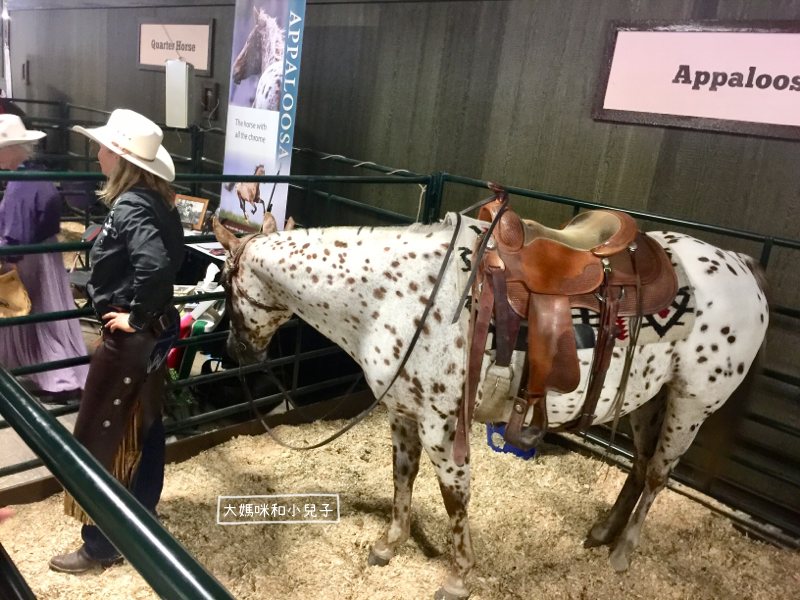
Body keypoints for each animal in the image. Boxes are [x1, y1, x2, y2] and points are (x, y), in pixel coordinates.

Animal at [212, 204, 768, 596]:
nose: (233, 351)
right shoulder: (402, 413)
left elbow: (454, 499)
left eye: (222, 280)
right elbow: (401, 477)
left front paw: (458, 578)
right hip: (649, 399)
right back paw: (601, 532)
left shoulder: (441, 424)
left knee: (656, 476)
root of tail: (741, 266)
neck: (395, 296)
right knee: (637, 468)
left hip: (690, 405)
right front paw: (389, 546)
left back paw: (622, 552)